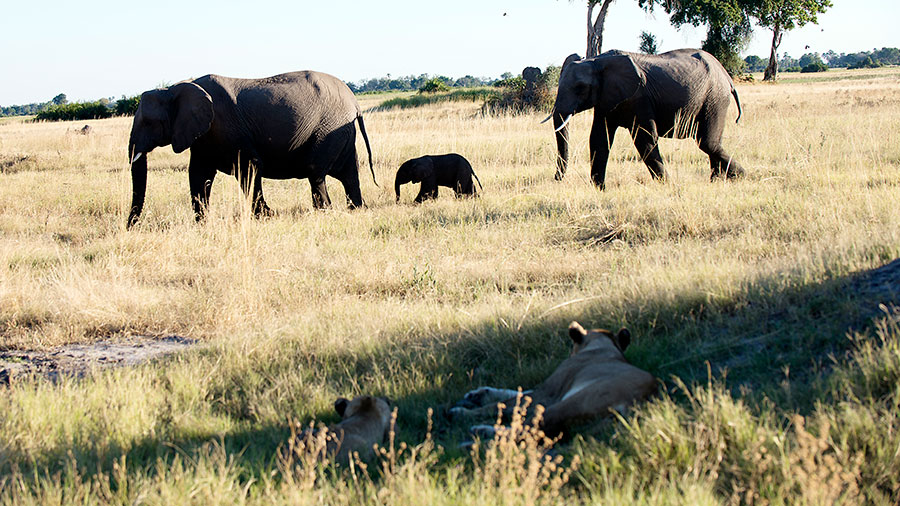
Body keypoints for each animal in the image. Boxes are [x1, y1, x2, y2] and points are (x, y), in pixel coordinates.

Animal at [127, 70, 376, 228]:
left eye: (148, 123)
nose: (131, 226)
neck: (173, 88)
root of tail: (354, 102)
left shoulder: (225, 128)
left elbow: (249, 167)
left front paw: (266, 217)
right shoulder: (203, 136)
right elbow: (198, 174)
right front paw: (203, 223)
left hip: (328, 128)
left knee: (316, 172)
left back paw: (326, 212)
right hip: (340, 131)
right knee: (349, 173)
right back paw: (356, 209)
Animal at [548, 49, 744, 188]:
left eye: (580, 87)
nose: (557, 179)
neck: (596, 60)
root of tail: (727, 76)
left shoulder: (639, 97)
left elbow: (645, 139)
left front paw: (666, 184)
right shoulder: (607, 98)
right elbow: (599, 139)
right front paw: (599, 189)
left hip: (715, 97)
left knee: (707, 142)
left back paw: (739, 176)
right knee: (710, 142)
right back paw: (717, 180)